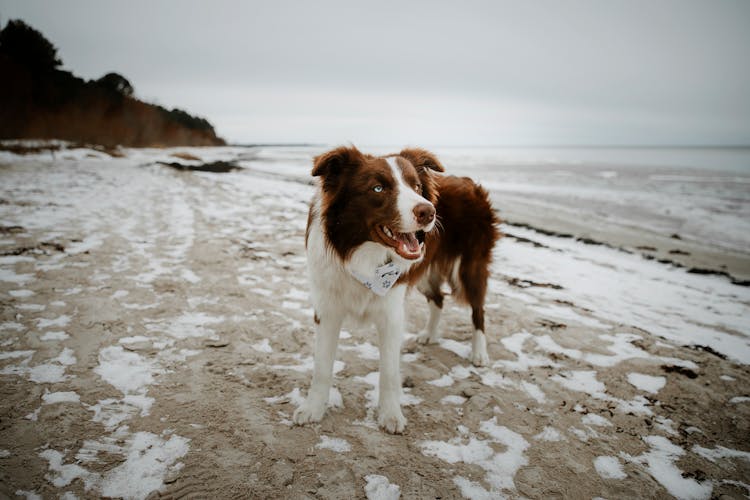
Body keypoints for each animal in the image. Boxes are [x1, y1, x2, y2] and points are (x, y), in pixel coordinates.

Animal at [294, 146, 500, 434]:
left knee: (478, 309)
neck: (363, 256)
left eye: (416, 186)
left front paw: (390, 414)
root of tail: (470, 182)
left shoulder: (391, 311)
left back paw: (479, 352)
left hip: (469, 266)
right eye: (378, 188)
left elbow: (389, 373)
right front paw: (313, 408)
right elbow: (321, 367)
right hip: (423, 269)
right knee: (438, 299)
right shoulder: (327, 309)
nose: (429, 212)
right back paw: (429, 334)